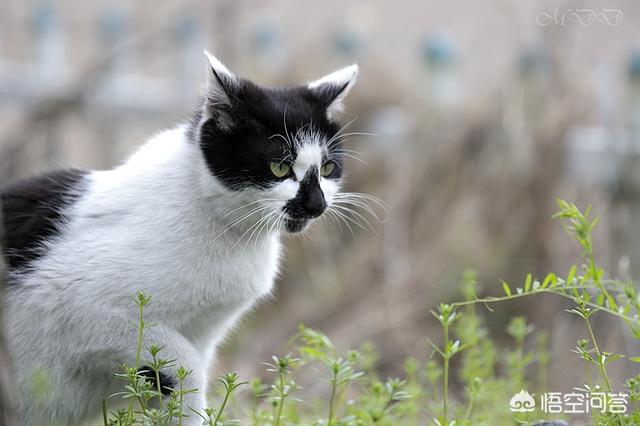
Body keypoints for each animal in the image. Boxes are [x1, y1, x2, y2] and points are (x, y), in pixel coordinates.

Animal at [0, 51, 360, 424]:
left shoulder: (204, 332)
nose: (316, 204)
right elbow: (185, 365)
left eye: (329, 168)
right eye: (279, 167)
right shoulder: (75, 303)